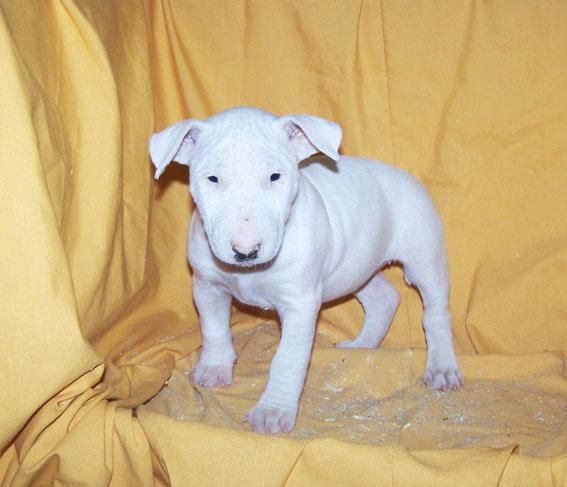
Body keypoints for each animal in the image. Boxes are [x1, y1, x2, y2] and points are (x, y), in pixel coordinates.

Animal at [149, 107, 464, 434]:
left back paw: (442, 367)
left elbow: (288, 357)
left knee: (435, 312)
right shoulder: (207, 286)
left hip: (424, 257)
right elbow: (213, 329)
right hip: (356, 263)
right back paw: (361, 345)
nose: (245, 252)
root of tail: (406, 176)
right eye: (212, 178)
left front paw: (272, 412)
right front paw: (213, 368)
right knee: (384, 298)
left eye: (275, 176)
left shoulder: (300, 303)